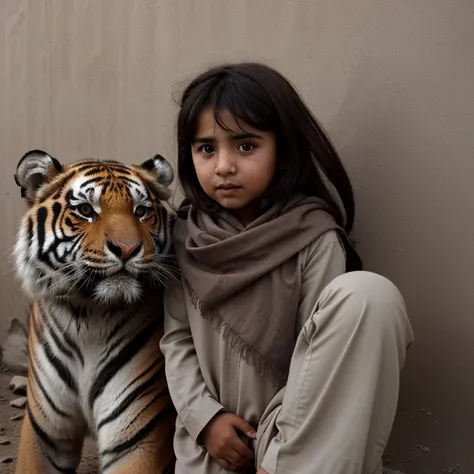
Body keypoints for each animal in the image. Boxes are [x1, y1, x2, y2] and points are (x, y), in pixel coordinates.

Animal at [11, 151, 178, 474]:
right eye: (86, 210)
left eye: (141, 211)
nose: (127, 248)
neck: (88, 315)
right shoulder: (44, 434)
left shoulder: (139, 438)